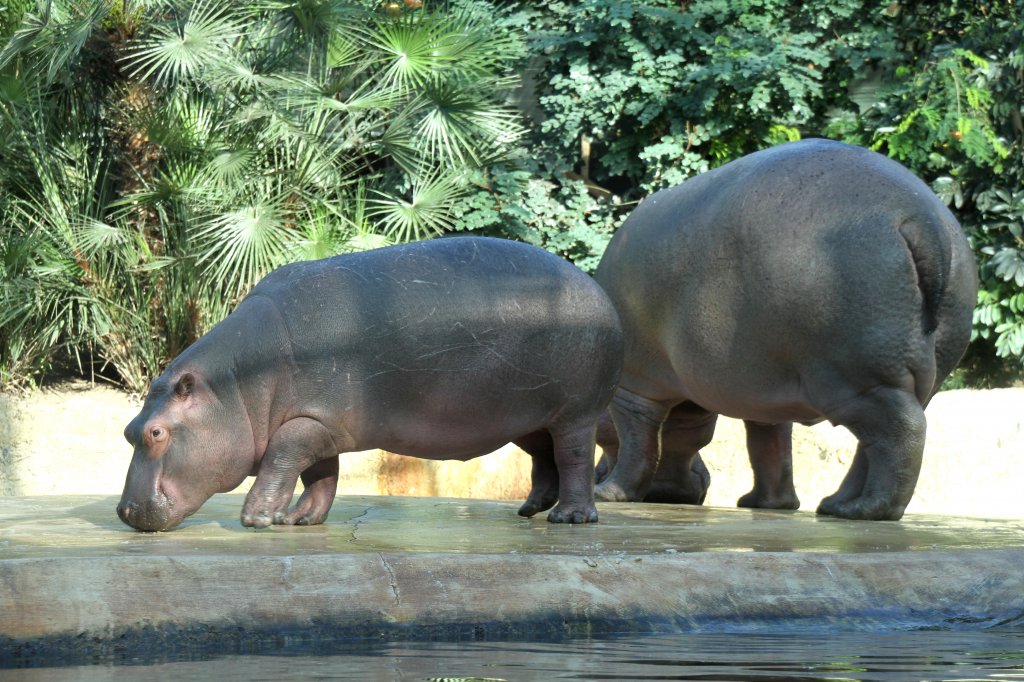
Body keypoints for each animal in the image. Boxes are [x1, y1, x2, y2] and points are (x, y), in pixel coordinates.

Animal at [116, 236, 618, 528]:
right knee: (544, 458)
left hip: (576, 412)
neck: (235, 386)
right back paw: (531, 509)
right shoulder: (319, 424)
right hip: (527, 416)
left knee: (573, 458)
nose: (123, 511)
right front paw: (301, 520)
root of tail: (598, 290)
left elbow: (281, 460)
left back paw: (570, 518)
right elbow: (320, 476)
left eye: (156, 433)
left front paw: (258, 518)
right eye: (128, 430)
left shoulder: (306, 425)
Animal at [598, 139, 978, 520]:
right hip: (914, 368)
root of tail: (922, 218)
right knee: (877, 442)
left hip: (857, 379)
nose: (697, 487)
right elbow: (759, 446)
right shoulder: (754, 396)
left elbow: (637, 442)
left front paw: (613, 493)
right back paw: (836, 505)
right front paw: (764, 504)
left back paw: (866, 509)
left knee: (900, 430)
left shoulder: (634, 388)